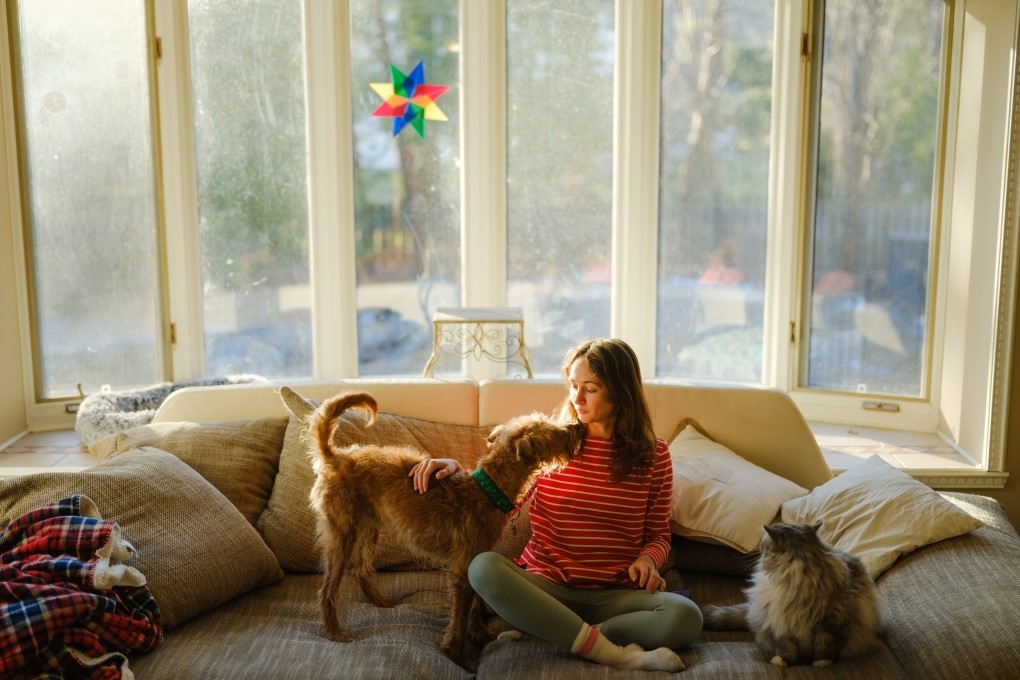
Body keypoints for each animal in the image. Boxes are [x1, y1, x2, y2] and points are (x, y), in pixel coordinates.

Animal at [299, 391, 583, 672]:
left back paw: (381, 601)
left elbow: (475, 606)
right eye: (551, 431)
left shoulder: (474, 562)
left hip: (370, 527)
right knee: (327, 589)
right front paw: (460, 657)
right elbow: (460, 619)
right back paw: (334, 631)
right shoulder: (461, 571)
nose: (577, 426)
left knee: (361, 568)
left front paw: (481, 636)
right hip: (342, 535)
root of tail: (336, 457)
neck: (487, 491)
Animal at [705, 526, 881, 668]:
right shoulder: (780, 622)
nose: (758, 549)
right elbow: (786, 648)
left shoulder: (832, 622)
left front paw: (822, 663)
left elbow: (825, 647)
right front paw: (782, 662)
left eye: (763, 544)